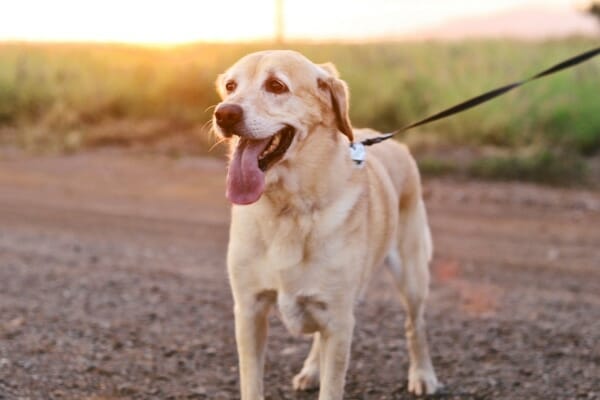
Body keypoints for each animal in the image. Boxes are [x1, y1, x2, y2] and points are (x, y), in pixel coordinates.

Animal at [211, 50, 440, 400]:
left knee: (416, 326)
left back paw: (423, 374)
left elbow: (332, 388)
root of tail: (396, 144)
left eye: (276, 85)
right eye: (230, 86)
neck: (288, 209)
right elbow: (252, 383)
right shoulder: (249, 311)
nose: (224, 114)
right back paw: (311, 370)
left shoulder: (339, 320)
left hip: (411, 277)